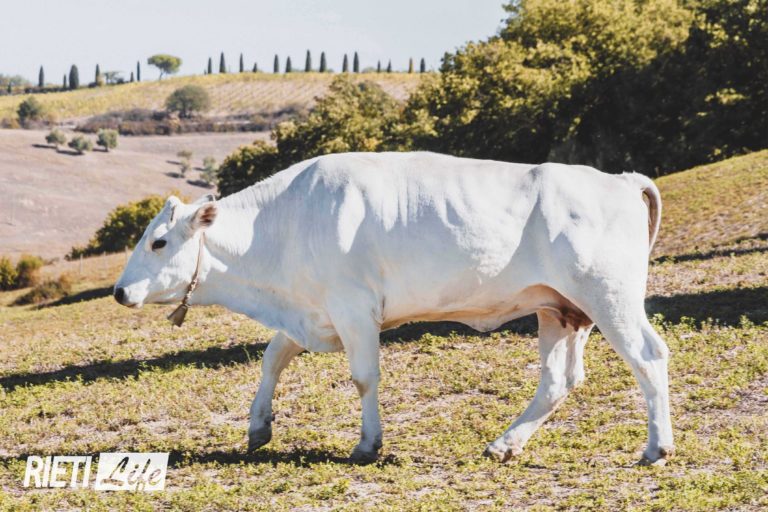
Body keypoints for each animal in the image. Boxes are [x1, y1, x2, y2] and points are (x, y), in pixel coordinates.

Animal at [114, 151, 673, 465]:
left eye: (159, 242)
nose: (119, 292)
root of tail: (620, 179)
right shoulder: (312, 311)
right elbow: (272, 359)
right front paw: (258, 426)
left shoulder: (353, 307)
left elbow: (364, 378)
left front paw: (367, 444)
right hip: (560, 310)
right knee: (559, 380)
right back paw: (505, 444)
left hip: (609, 295)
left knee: (648, 356)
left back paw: (656, 448)